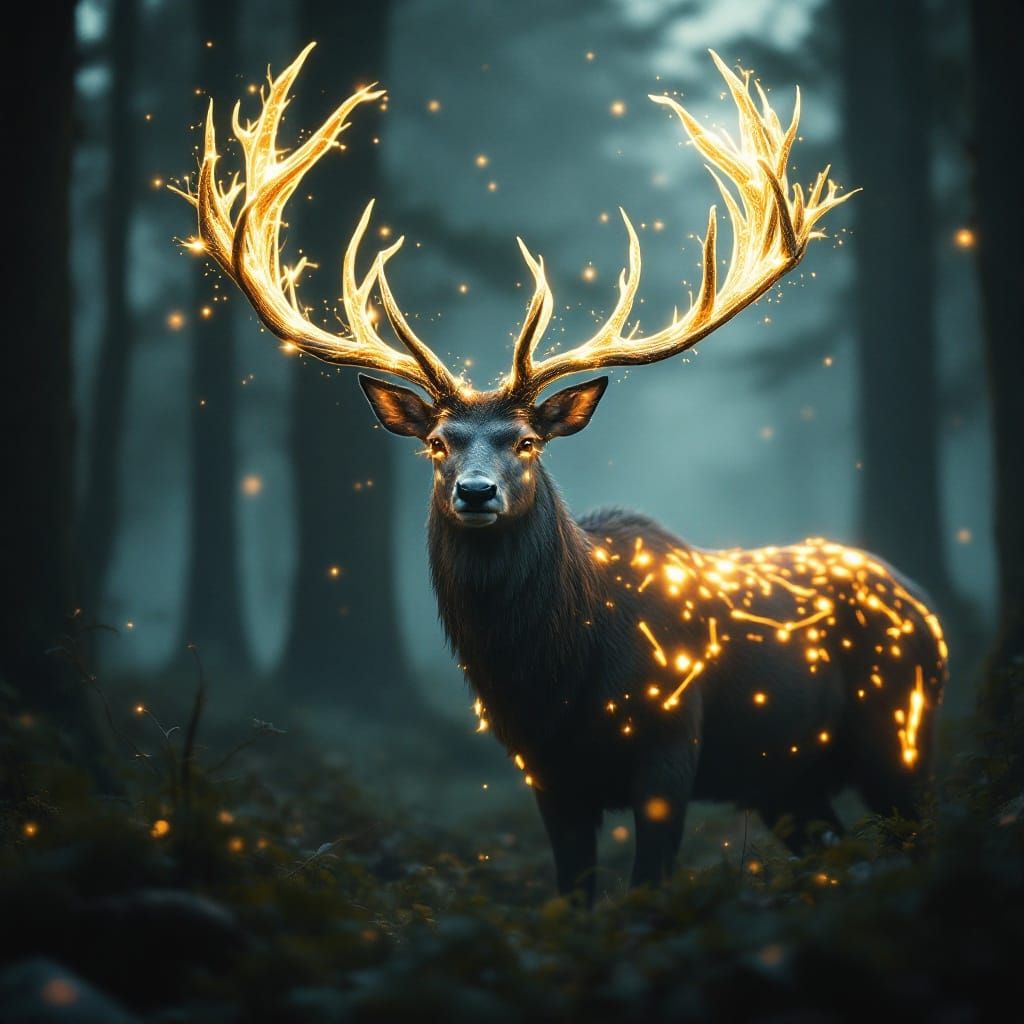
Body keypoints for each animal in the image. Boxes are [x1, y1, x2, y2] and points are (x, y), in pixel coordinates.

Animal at [177, 44, 948, 904]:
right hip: (788, 781)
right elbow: (573, 892)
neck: (559, 680)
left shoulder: (671, 741)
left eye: (526, 443)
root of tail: (930, 610)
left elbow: (648, 887)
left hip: (900, 736)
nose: (476, 492)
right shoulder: (543, 771)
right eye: (438, 443)